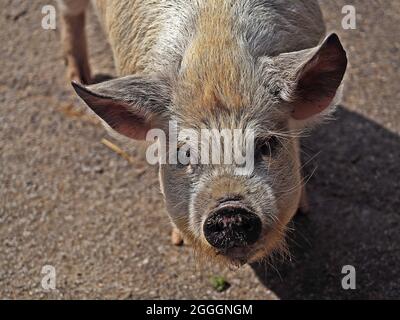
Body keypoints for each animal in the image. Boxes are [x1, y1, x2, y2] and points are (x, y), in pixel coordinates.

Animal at [57, 0, 346, 264]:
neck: (216, 59)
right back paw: (79, 77)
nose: (230, 210)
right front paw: (178, 241)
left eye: (266, 145)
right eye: (183, 154)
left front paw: (303, 210)